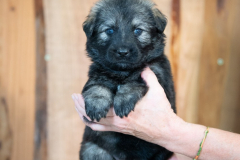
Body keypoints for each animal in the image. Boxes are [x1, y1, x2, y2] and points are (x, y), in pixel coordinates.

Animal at [79, 0, 175, 159]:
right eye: (109, 31)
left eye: (137, 30)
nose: (122, 52)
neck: (122, 72)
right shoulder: (96, 73)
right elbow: (96, 85)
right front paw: (96, 103)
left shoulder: (159, 76)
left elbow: (135, 79)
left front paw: (124, 99)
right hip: (93, 149)